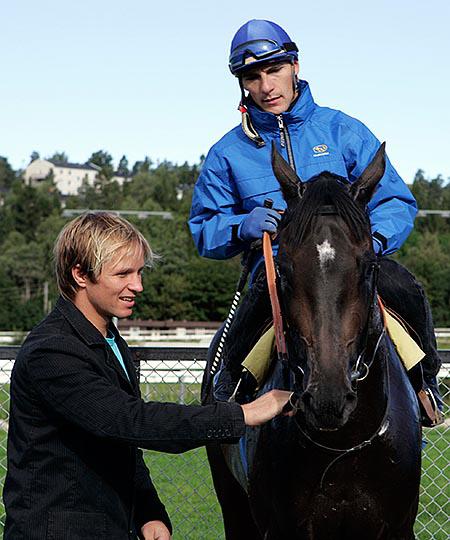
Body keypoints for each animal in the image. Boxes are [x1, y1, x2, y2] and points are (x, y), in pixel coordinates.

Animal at [202, 142, 422, 539]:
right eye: (283, 268)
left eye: (370, 265)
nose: (327, 398)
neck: (343, 446)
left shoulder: (398, 527)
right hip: (232, 503)